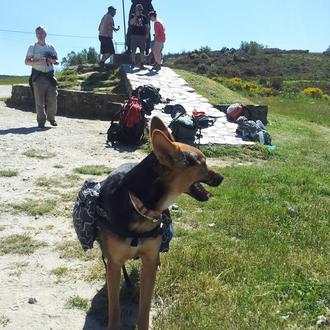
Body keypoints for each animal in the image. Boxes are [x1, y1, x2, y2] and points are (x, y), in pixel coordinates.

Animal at [95, 116, 224, 330]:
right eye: (203, 163)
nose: (222, 177)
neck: (140, 205)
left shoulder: (148, 261)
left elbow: (145, 307)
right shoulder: (113, 265)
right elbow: (114, 306)